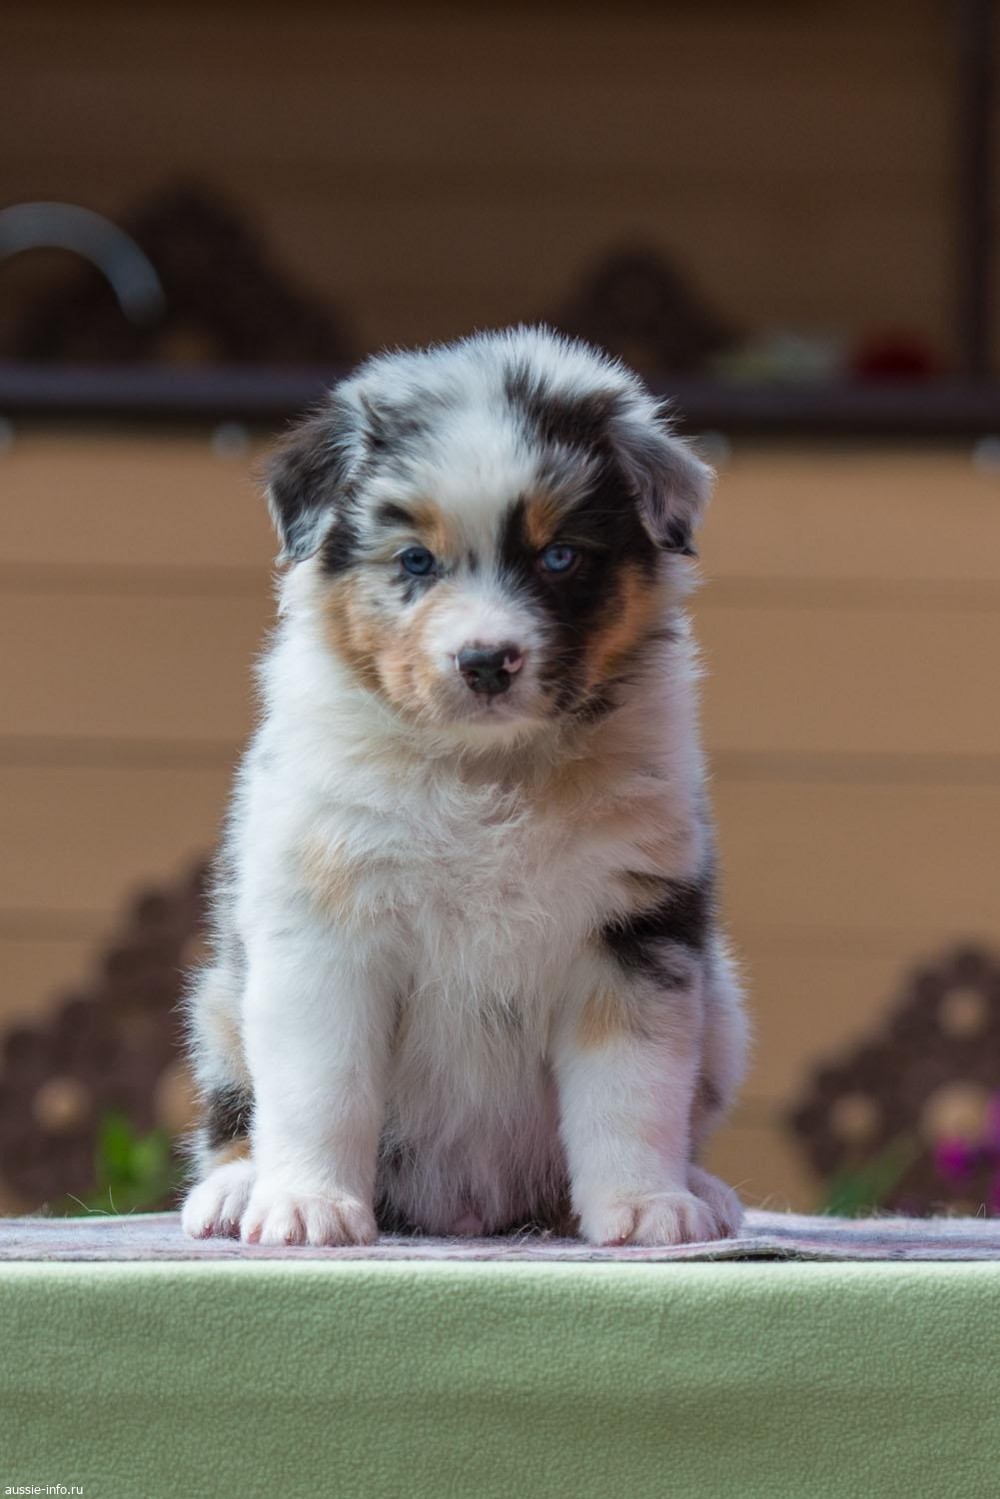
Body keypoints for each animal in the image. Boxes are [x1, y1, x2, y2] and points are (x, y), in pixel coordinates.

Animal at [181, 326, 749, 1247]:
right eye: (415, 560)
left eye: (560, 556)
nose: (486, 660)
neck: (488, 769)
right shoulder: (323, 929)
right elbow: (320, 1086)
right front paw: (308, 1204)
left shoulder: (635, 933)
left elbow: (632, 1090)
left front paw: (645, 1207)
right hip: (221, 996)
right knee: (235, 1107)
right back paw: (236, 1189)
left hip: (723, 1005)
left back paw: (701, 1187)